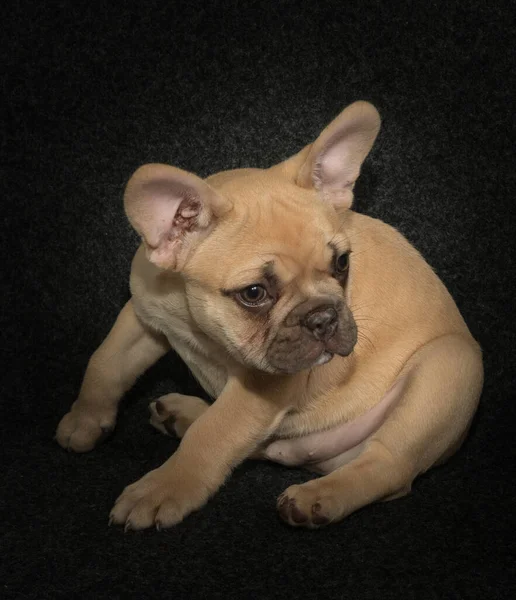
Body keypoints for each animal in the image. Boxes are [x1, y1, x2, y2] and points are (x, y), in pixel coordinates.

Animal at [56, 102, 484, 528]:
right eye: (254, 293)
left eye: (343, 263)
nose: (323, 317)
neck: (194, 316)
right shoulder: (143, 317)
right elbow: (106, 362)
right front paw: (85, 418)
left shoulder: (263, 387)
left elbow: (214, 435)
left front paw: (163, 488)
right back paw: (184, 413)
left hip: (448, 368)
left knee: (388, 465)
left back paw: (321, 496)